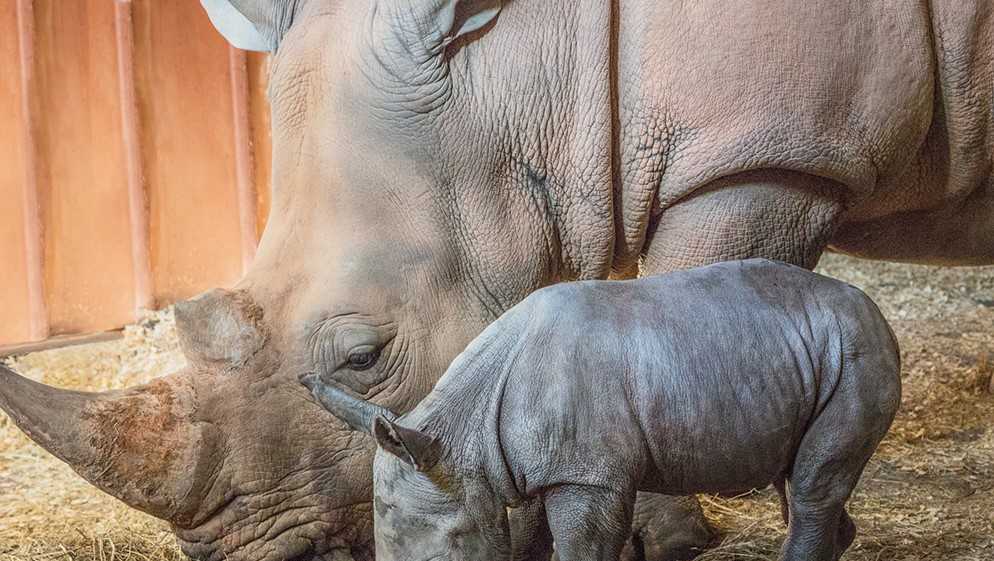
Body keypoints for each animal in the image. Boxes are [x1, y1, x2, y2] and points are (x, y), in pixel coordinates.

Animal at [304, 259, 903, 561]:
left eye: (448, 550)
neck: (460, 434)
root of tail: (874, 311)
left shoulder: (587, 475)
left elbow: (582, 547)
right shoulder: (529, 467)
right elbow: (532, 539)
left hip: (856, 351)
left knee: (811, 485)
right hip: (808, 353)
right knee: (795, 478)